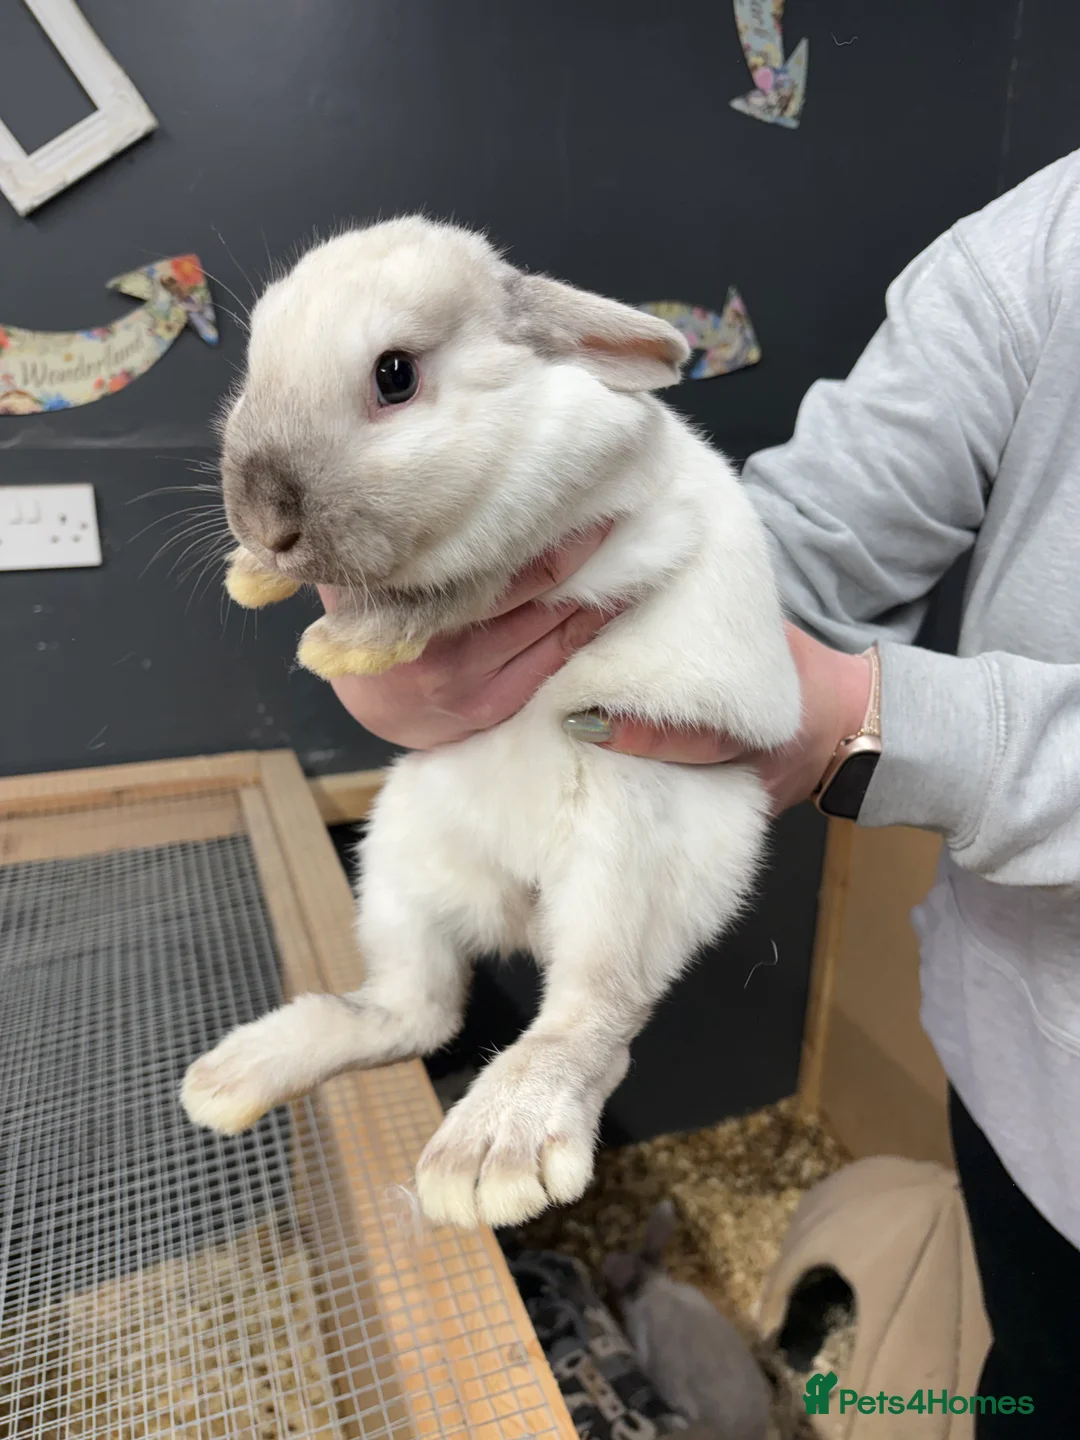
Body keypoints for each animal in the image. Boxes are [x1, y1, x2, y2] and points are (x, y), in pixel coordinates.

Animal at [179, 216, 800, 1231]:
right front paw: (255, 578)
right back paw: (234, 1077)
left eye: (395, 374)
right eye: (252, 364)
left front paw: (340, 643)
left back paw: (490, 1156)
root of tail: (521, 897)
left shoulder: (575, 521)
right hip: (399, 869)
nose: (264, 521)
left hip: (634, 866)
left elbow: (460, 587)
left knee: (593, 1023)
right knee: (418, 1013)